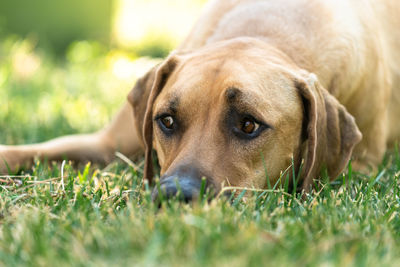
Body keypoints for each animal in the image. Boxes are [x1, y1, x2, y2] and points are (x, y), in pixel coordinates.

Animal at [0, 0, 400, 201]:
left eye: (249, 124)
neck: (266, 31)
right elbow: (36, 149)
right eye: (166, 120)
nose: (177, 195)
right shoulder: (106, 142)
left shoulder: (361, 165)